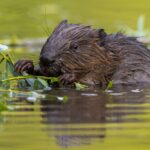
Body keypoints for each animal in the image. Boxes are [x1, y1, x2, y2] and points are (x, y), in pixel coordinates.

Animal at [14, 19, 150, 88]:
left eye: (75, 46)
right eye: (47, 39)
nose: (46, 59)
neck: (112, 57)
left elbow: (95, 81)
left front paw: (67, 77)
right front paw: (23, 64)